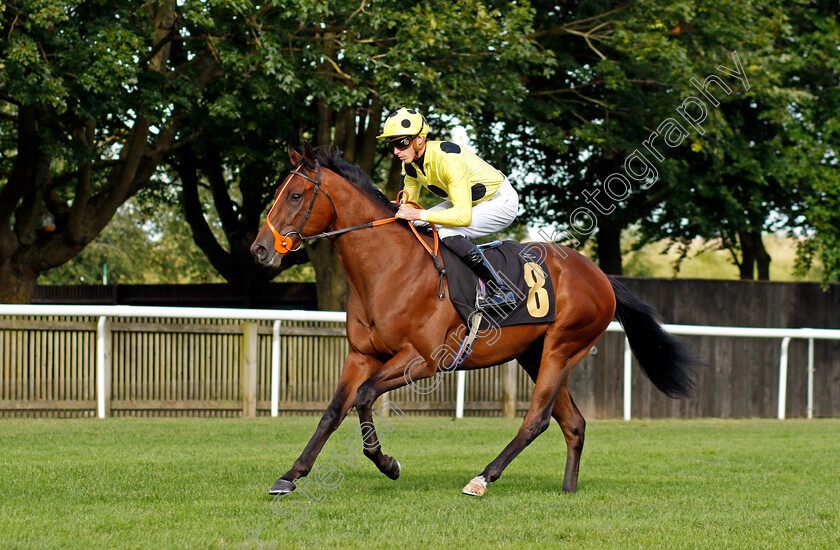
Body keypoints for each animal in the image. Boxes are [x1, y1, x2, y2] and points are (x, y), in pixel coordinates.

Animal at [253, 143, 700, 500]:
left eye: (295, 195)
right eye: (277, 193)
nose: (260, 250)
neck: (388, 268)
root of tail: (600, 276)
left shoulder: (423, 360)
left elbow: (363, 397)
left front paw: (387, 463)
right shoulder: (361, 355)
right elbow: (332, 412)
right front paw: (290, 476)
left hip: (562, 348)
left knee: (536, 419)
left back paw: (483, 478)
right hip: (535, 354)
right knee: (573, 423)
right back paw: (568, 489)